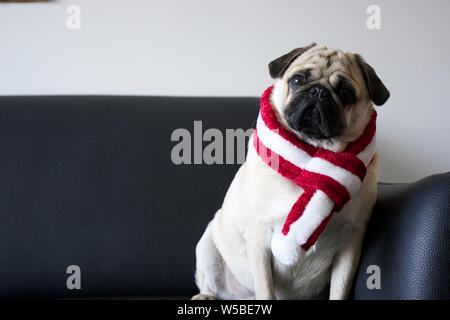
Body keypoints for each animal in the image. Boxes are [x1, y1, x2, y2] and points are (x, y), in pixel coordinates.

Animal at [193, 44, 390, 300]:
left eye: (346, 93)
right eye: (297, 80)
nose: (318, 91)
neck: (311, 153)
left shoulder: (351, 241)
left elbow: (340, 289)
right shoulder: (259, 237)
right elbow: (266, 289)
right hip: (207, 245)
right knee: (210, 281)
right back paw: (206, 295)